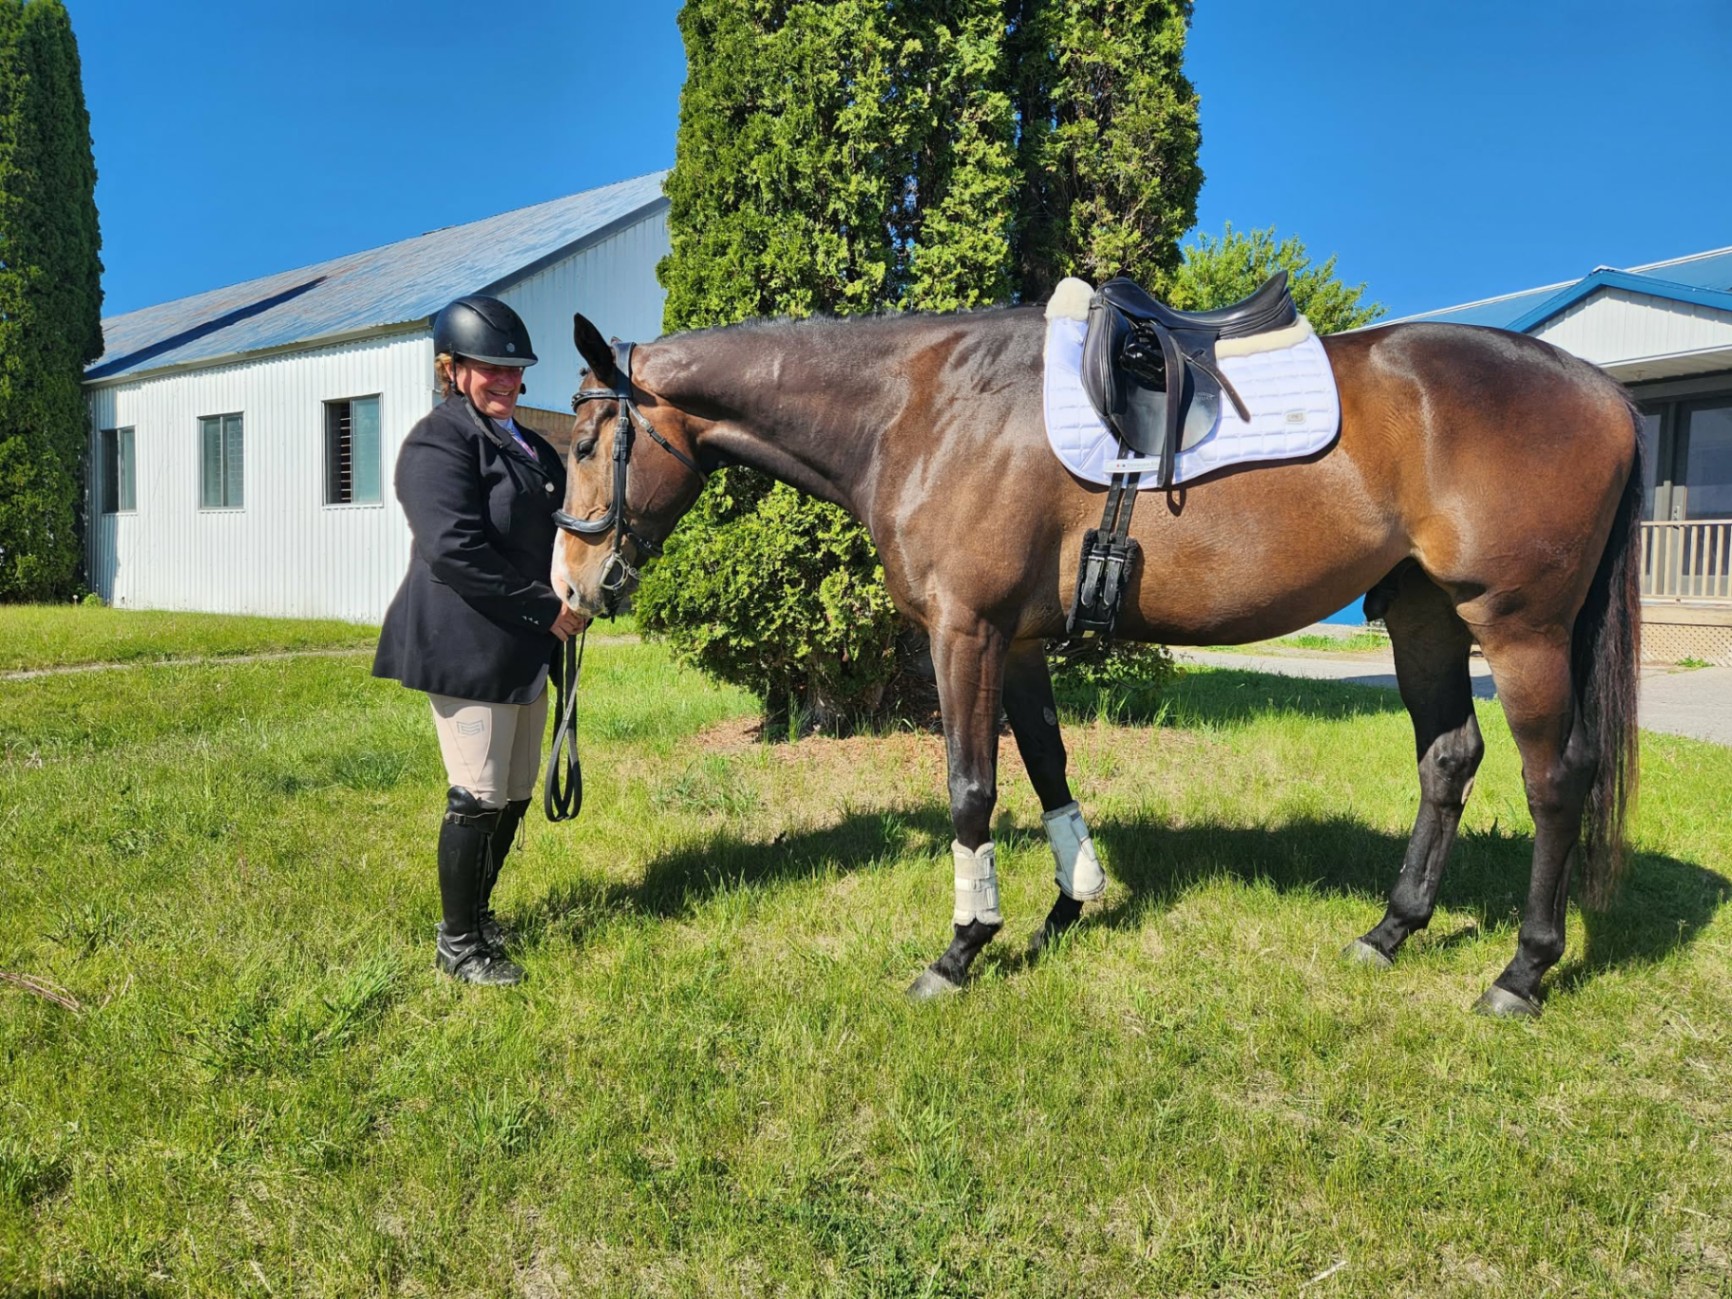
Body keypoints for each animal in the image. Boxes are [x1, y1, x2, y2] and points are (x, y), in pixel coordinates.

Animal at [550, 298, 1642, 1018]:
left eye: (587, 442)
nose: (570, 589)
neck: (927, 406)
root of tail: (1606, 393)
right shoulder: (1021, 639)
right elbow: (1047, 770)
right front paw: (1070, 906)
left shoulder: (965, 630)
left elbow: (972, 790)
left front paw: (961, 948)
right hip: (1425, 617)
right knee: (1448, 758)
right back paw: (1392, 929)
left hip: (1521, 628)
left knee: (1556, 781)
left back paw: (1521, 972)